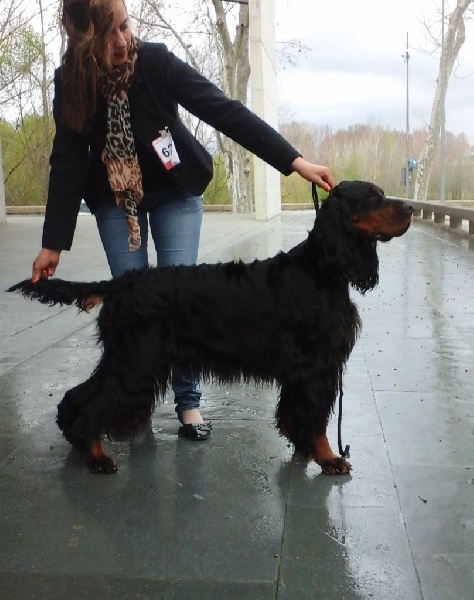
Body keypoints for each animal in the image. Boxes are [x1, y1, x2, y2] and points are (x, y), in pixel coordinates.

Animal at [8, 181, 412, 475]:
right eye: (373, 197)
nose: (410, 208)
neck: (322, 269)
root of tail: (119, 284)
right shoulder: (316, 364)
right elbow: (316, 419)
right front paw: (328, 458)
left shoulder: (307, 369)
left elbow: (298, 414)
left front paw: (302, 447)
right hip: (135, 361)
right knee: (87, 401)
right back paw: (95, 456)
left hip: (133, 359)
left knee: (79, 398)